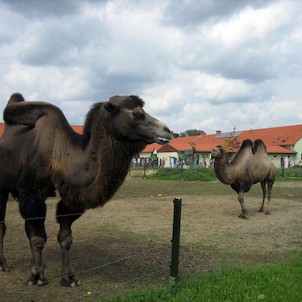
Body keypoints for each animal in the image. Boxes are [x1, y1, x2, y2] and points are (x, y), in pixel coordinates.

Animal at [0, 93, 171, 286]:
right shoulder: (31, 192)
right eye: (137, 114)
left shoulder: (71, 197)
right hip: (2, 188)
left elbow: (65, 237)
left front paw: (69, 278)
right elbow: (38, 238)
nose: (167, 130)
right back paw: (4, 264)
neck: (58, 155)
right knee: (3, 225)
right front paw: (37, 277)